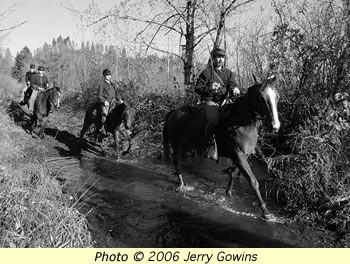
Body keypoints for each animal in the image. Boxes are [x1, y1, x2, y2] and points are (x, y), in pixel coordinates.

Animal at [163, 75, 280, 220]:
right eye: (261, 98)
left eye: (277, 97)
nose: (275, 126)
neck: (241, 122)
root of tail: (174, 112)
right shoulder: (238, 155)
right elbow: (253, 181)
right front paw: (265, 211)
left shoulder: (243, 155)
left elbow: (234, 174)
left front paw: (228, 193)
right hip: (177, 146)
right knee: (177, 164)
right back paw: (181, 185)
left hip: (187, 147)